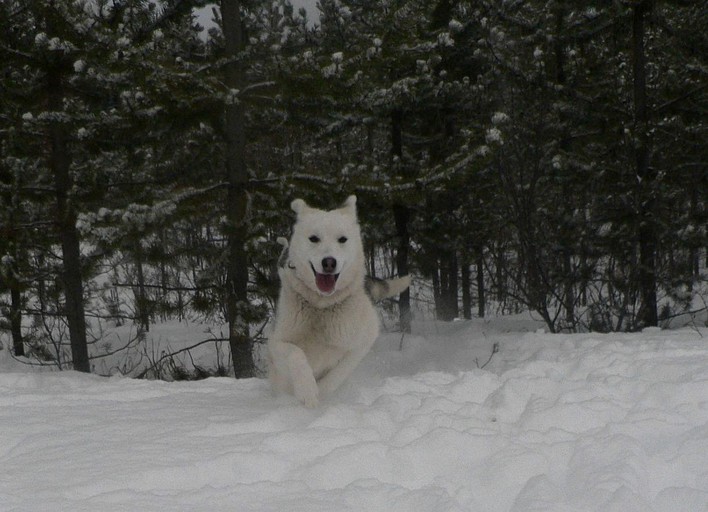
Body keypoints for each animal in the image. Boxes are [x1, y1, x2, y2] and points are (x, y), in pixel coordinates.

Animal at [266, 194, 410, 406]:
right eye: (314, 238)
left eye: (342, 239)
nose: (329, 262)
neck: (321, 306)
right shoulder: (277, 343)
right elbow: (295, 354)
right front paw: (307, 391)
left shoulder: (361, 343)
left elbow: (337, 375)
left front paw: (321, 394)